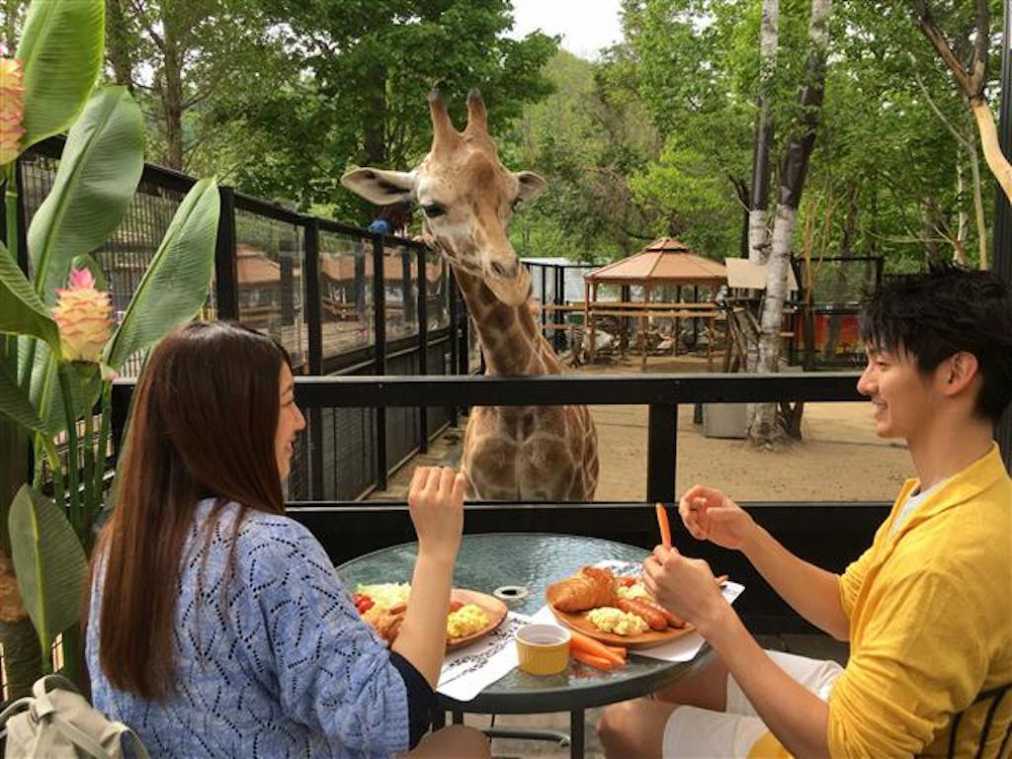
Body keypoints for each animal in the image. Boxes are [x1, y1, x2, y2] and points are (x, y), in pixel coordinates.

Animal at [344, 89, 595, 501]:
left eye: (514, 201)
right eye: (431, 207)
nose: (511, 282)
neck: (515, 414)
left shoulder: (571, 495)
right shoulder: (481, 495)